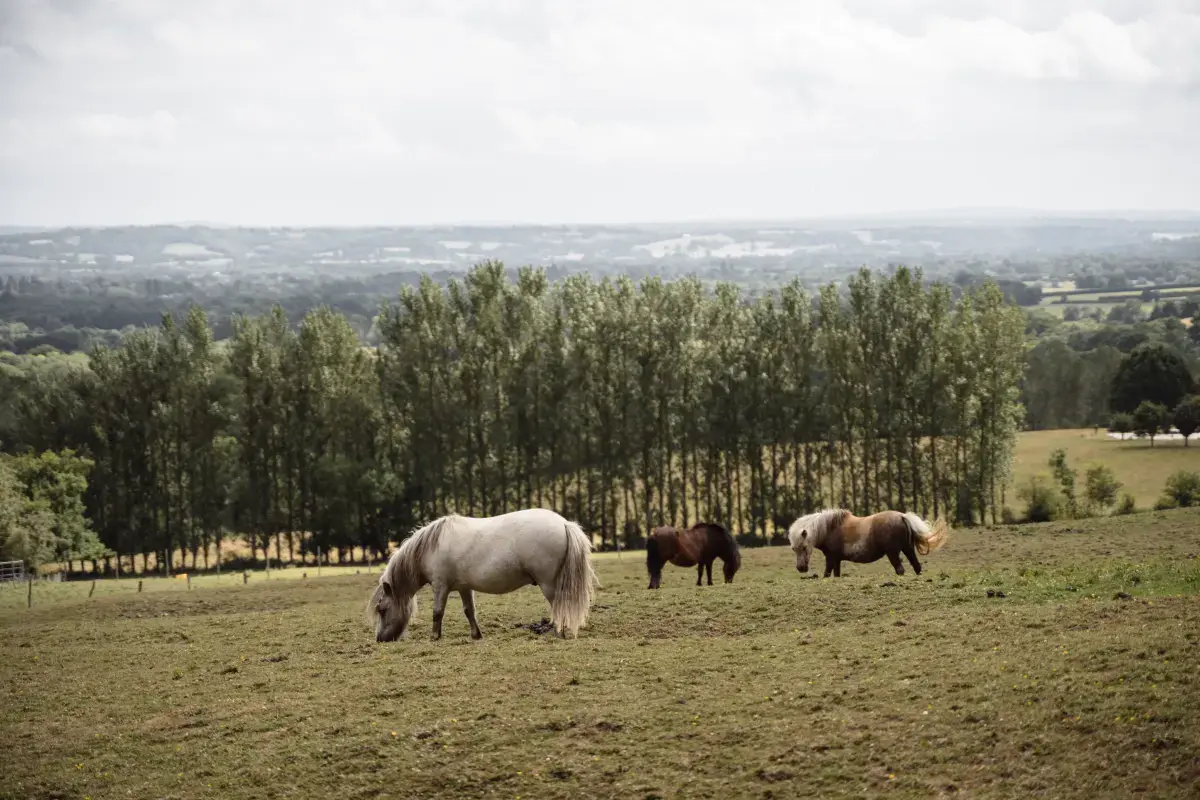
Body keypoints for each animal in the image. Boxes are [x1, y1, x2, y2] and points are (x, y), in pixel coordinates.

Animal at [360, 510, 595, 642]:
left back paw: (558, 632)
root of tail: (564, 523)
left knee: (557, 606)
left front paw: (434, 637)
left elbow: (437, 612)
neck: (430, 548)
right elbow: (469, 611)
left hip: (548, 584)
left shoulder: (440, 586)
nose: (380, 639)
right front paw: (476, 635)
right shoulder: (464, 587)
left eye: (382, 609)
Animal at [787, 510, 945, 578]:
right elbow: (836, 575)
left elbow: (826, 574)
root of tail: (902, 516)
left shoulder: (831, 558)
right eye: (793, 549)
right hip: (908, 549)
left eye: (804, 547)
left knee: (900, 570)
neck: (829, 528)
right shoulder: (837, 560)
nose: (801, 568)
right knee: (917, 567)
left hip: (893, 553)